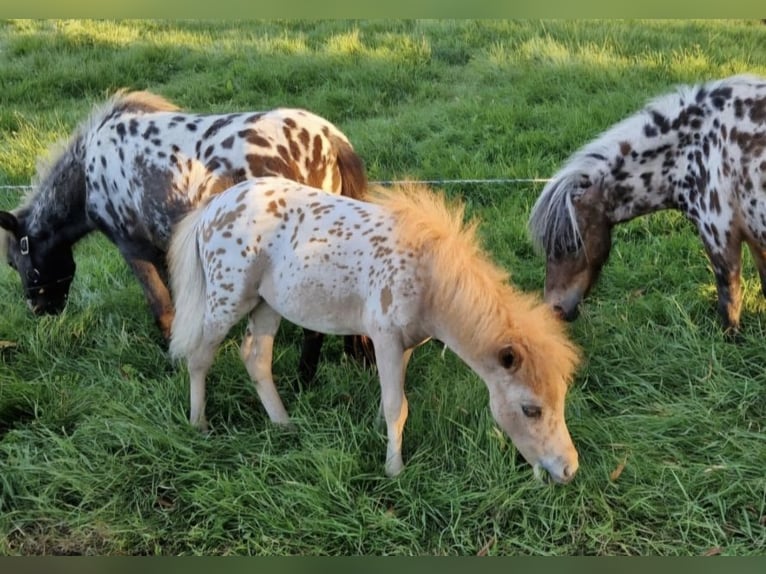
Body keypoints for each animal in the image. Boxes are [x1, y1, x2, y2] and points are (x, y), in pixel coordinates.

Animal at [0, 89, 370, 383]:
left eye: (13, 262)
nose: (39, 308)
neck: (90, 174)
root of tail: (330, 140)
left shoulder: (133, 248)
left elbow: (162, 308)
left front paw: (174, 360)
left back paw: (303, 379)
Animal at [167, 175, 581, 483]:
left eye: (562, 399)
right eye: (530, 409)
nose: (568, 469)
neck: (428, 278)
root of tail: (212, 207)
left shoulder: (406, 345)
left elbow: (392, 402)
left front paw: (381, 438)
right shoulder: (384, 338)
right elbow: (397, 405)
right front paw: (394, 470)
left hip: (267, 305)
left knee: (255, 359)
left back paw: (284, 425)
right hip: (227, 301)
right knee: (200, 356)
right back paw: (199, 424)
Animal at [528, 74, 766, 333]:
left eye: (572, 244)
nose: (555, 309)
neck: (699, 148)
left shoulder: (720, 240)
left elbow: (729, 309)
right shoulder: (754, 241)